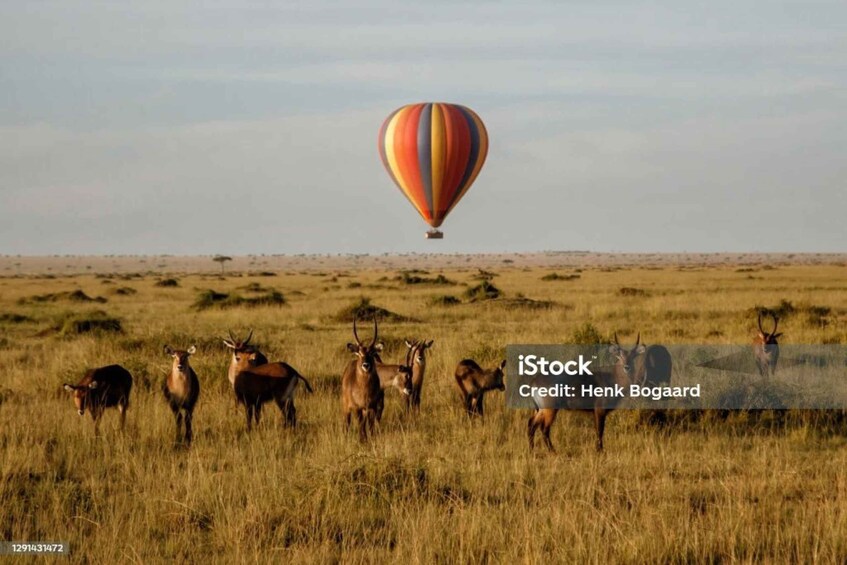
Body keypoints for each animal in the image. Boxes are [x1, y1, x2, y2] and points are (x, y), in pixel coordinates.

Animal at [342, 312, 386, 440]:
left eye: (371, 353)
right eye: (360, 353)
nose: (366, 365)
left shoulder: (372, 407)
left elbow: (370, 426)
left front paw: (370, 439)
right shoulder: (357, 407)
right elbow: (360, 425)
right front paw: (362, 440)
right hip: (346, 407)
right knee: (347, 423)